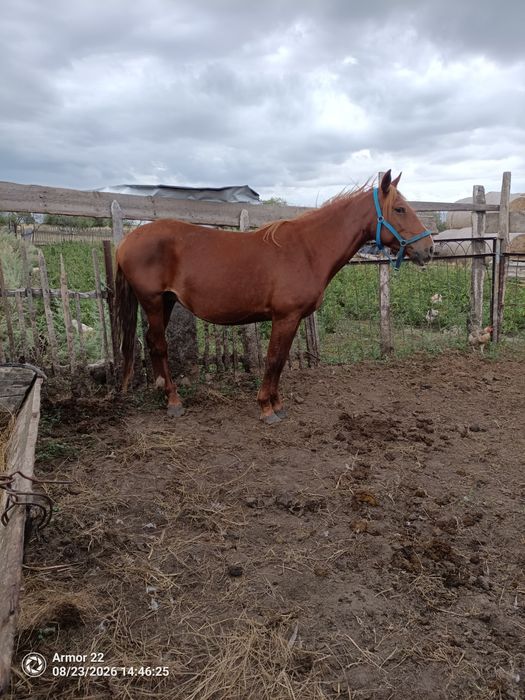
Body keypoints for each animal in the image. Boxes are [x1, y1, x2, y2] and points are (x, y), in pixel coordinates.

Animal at [115, 170, 434, 423]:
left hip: (165, 302)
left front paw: (277, 404)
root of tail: (127, 240)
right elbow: (274, 359)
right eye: (400, 209)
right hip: (153, 301)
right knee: (159, 345)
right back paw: (173, 401)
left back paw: (162, 391)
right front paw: (266, 408)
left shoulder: (291, 320)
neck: (307, 249)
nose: (429, 249)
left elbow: (280, 361)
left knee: (152, 342)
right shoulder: (285, 317)